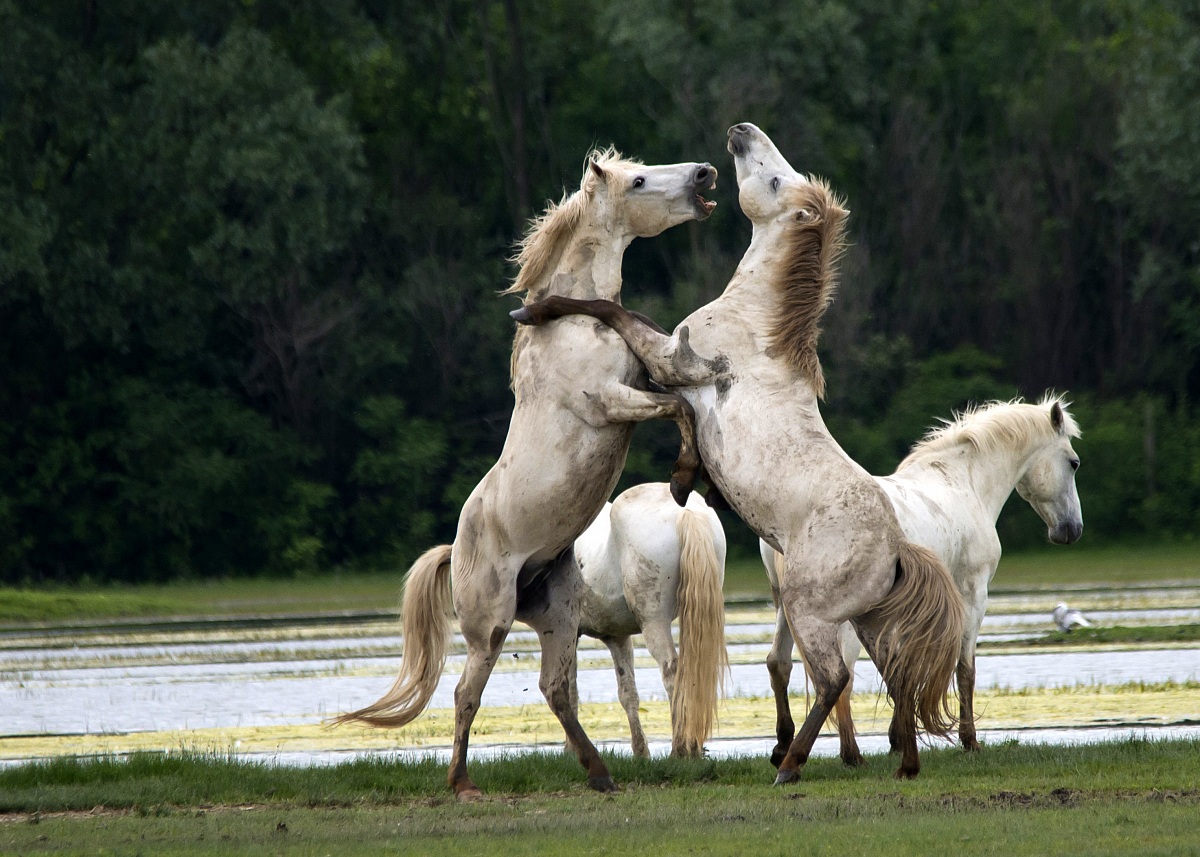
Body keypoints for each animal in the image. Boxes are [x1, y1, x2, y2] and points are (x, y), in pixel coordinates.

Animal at [575, 482, 728, 758]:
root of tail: (685, 512)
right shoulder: (617, 637)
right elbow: (627, 693)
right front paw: (640, 752)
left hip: (654, 623)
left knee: (671, 670)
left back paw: (680, 749)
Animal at [762, 396, 1083, 765]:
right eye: (1074, 463)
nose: (1072, 529)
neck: (963, 483)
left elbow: (900, 667)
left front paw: (899, 738)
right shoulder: (972, 594)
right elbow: (965, 669)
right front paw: (969, 740)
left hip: (786, 607)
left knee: (779, 663)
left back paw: (783, 746)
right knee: (841, 676)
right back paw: (850, 754)